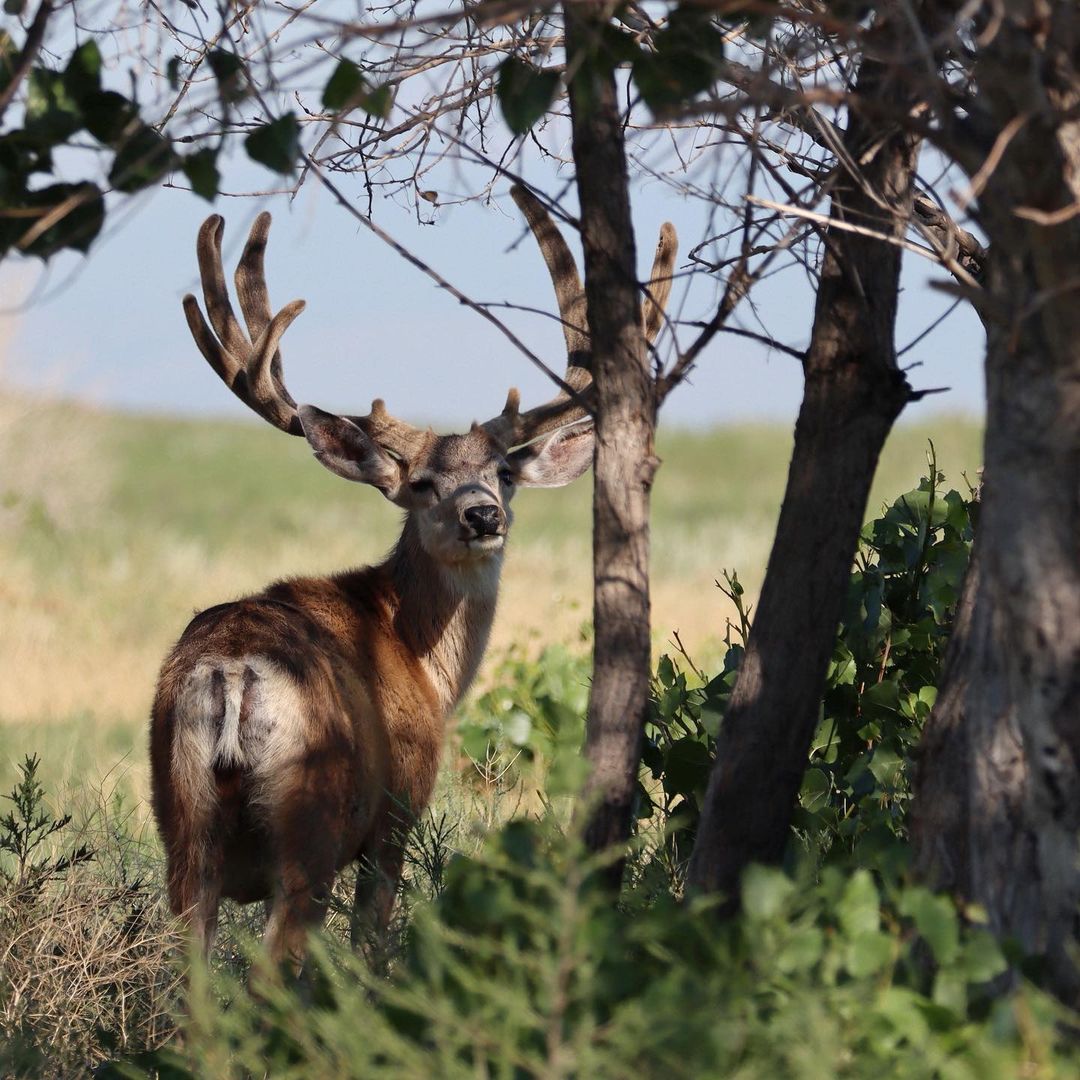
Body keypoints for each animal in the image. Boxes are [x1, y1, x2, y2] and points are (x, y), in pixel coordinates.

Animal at [149, 185, 677, 967]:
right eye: (424, 484)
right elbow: (373, 937)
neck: (422, 659)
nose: (483, 515)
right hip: (314, 819)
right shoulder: (400, 806)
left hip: (181, 820)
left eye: (504, 474)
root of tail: (235, 673)